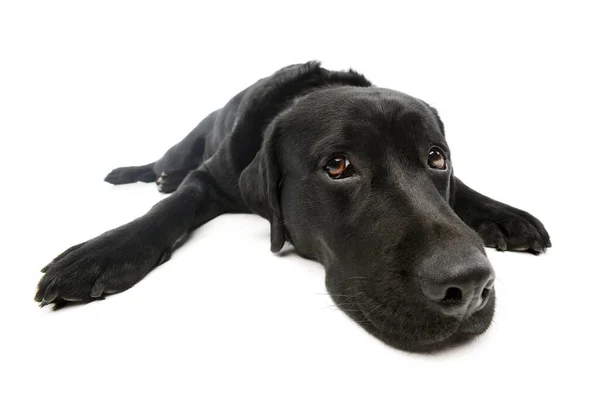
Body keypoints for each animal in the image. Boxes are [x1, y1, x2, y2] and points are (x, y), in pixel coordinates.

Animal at [35, 61, 552, 352]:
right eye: (337, 165)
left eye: (436, 156)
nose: (470, 285)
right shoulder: (210, 177)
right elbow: (171, 211)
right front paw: (100, 253)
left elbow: (461, 189)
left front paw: (506, 215)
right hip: (185, 145)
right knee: (165, 167)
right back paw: (141, 175)